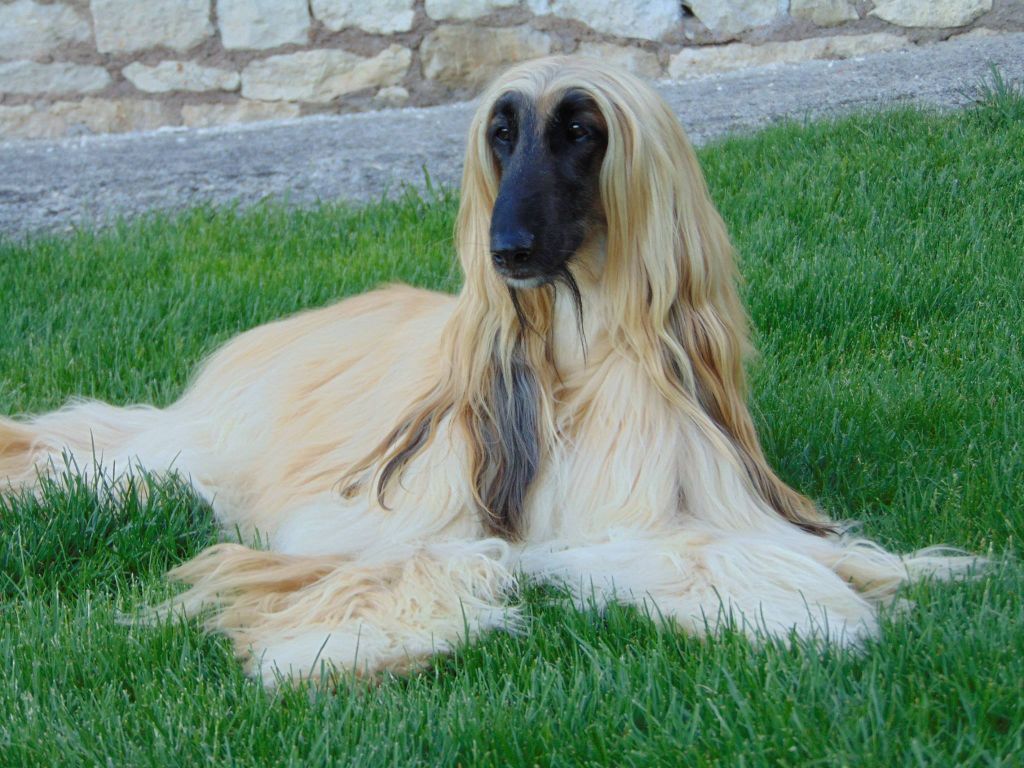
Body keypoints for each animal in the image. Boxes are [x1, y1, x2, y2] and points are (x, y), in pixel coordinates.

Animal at [0, 56, 976, 685]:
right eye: (501, 135)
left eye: (580, 131)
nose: (506, 251)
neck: (579, 359)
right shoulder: (393, 519)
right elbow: (464, 558)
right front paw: (339, 649)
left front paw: (851, 584)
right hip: (208, 445)